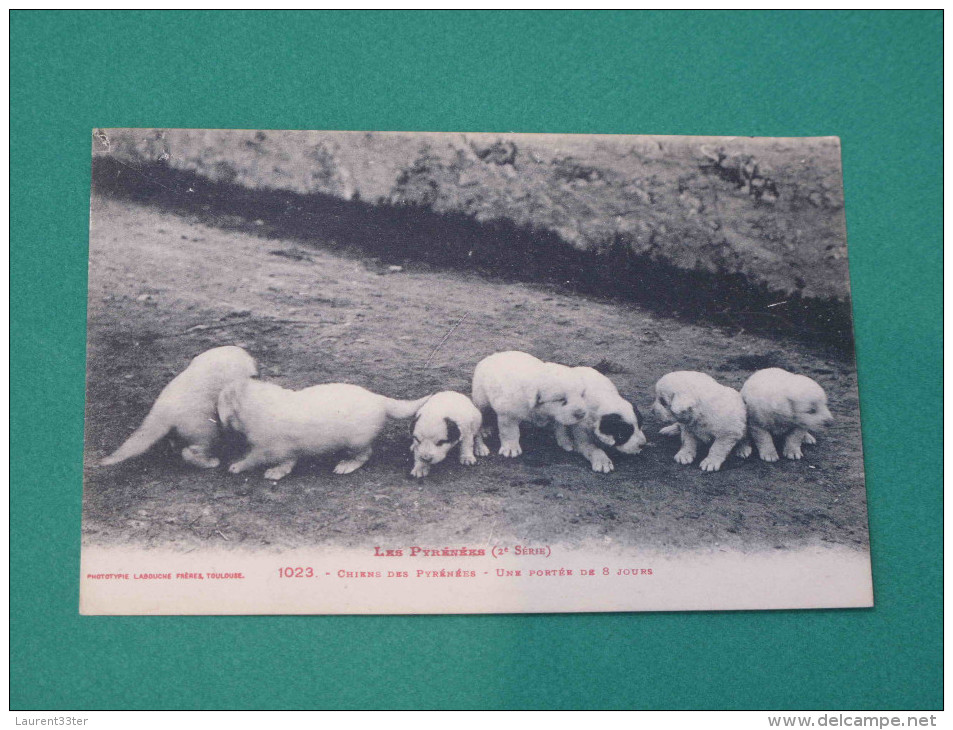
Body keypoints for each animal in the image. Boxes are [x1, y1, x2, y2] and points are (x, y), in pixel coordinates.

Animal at [218, 378, 430, 480]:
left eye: (220, 401)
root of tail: (380, 400)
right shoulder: (286, 449)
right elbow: (289, 461)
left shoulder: (269, 448)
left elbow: (256, 459)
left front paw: (238, 466)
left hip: (356, 442)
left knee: (364, 455)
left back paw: (345, 465)